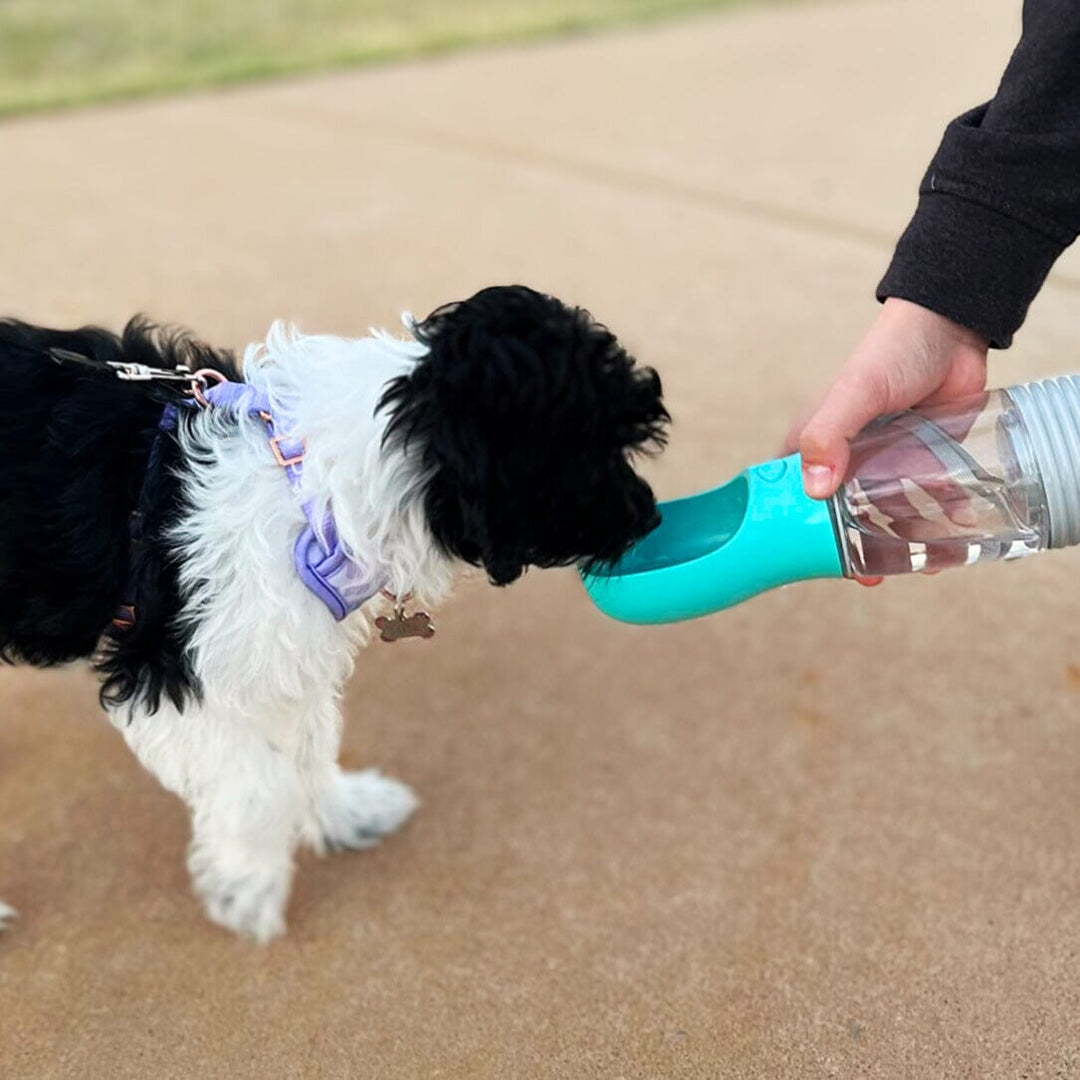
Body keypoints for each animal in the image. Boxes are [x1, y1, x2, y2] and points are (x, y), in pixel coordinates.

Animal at [0, 285, 665, 937]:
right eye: (590, 451)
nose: (649, 519)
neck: (306, 476)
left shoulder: (280, 658)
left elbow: (306, 749)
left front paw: (346, 815)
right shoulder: (172, 673)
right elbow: (263, 785)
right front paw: (250, 888)